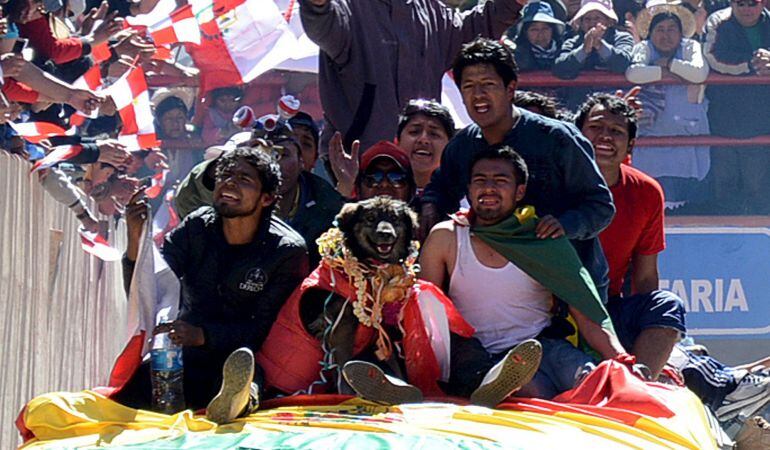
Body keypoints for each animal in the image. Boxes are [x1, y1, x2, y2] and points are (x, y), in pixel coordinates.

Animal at [298, 197, 416, 390]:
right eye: (370, 218)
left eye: (394, 218)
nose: (386, 234)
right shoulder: (339, 329)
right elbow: (343, 368)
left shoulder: (382, 330)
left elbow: (394, 365)